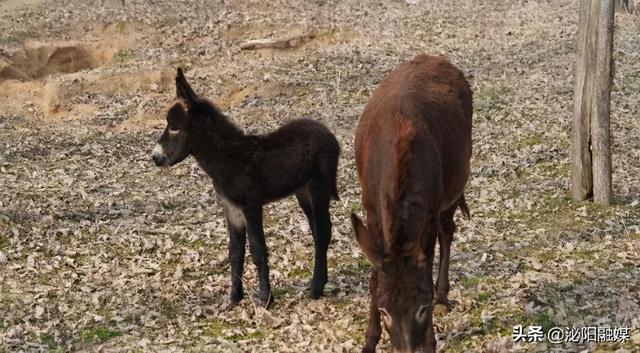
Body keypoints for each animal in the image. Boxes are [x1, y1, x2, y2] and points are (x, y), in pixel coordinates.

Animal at [151, 67, 340, 306]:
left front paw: (265, 299)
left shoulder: (251, 206)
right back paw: (318, 284)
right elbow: (235, 251)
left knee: (323, 231)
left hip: (319, 187)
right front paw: (234, 298)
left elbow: (258, 250)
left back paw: (315, 289)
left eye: (175, 128)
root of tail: (329, 134)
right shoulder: (231, 209)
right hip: (303, 192)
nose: (155, 157)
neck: (228, 158)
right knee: (317, 231)